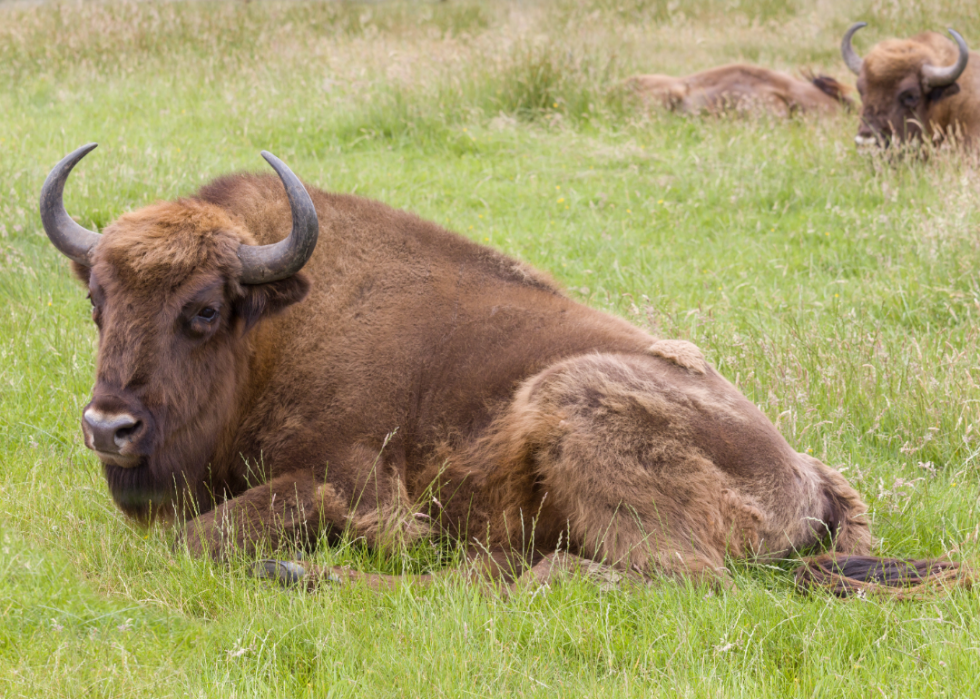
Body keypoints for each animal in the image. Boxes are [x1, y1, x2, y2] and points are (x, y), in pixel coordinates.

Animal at [42, 145, 968, 600]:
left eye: (203, 308)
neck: (279, 325)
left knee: (666, 577)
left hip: (571, 399)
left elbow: (202, 538)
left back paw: (307, 575)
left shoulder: (350, 484)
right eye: (96, 300)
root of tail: (805, 473)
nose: (108, 426)